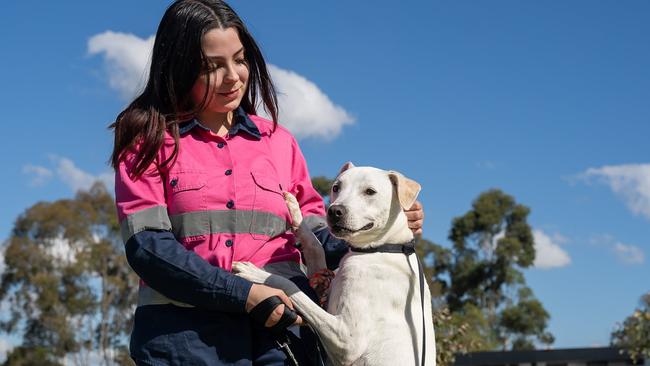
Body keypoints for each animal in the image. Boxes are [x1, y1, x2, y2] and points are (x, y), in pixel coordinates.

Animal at [233, 164, 436, 366]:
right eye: (336, 187)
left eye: (370, 191)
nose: (334, 211)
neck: (383, 248)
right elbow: (315, 245)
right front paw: (294, 209)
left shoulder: (346, 341)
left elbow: (292, 288)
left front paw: (258, 274)